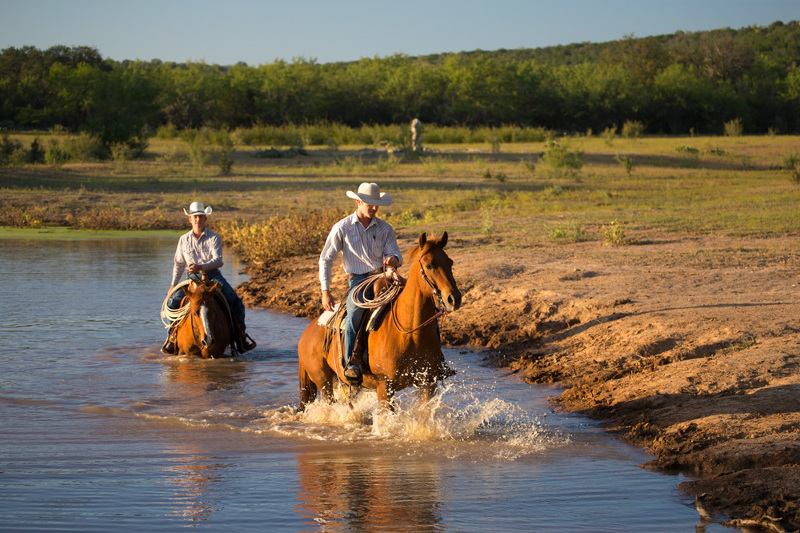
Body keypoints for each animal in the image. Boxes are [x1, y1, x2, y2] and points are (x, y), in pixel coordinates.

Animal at [296, 231, 462, 410]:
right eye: (429, 265)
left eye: (450, 263)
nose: (454, 298)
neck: (409, 333)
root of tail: (306, 333)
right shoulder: (384, 387)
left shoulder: (427, 384)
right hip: (323, 382)